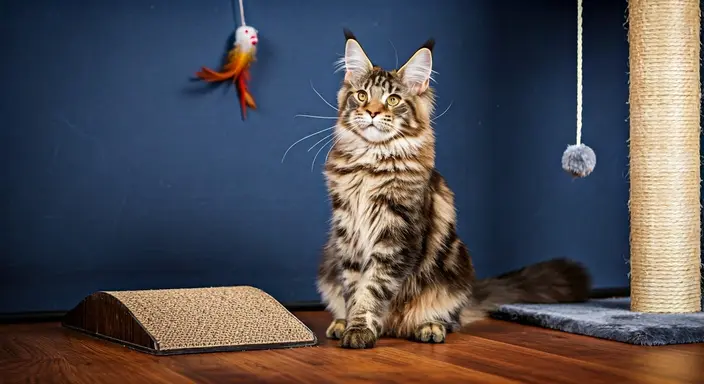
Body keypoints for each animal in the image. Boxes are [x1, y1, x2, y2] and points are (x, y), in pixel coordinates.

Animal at [316, 28, 592, 350]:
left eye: (393, 99)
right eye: (361, 96)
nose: (371, 112)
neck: (370, 165)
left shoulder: (396, 237)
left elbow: (372, 289)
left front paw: (360, 330)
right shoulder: (348, 234)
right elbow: (354, 289)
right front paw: (352, 324)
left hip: (455, 267)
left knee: (451, 320)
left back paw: (429, 327)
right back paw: (340, 323)